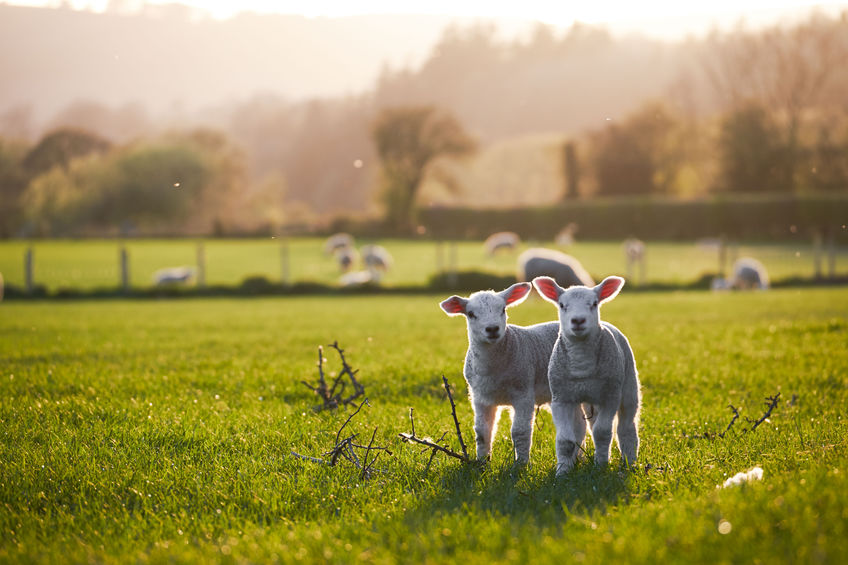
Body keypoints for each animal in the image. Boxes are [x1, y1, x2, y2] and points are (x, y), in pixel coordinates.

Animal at [438, 282, 564, 462]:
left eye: (503, 309)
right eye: (471, 314)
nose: (492, 329)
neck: (493, 371)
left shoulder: (523, 392)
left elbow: (520, 432)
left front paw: (521, 464)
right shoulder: (480, 398)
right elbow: (482, 433)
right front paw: (482, 462)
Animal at [532, 276, 640, 474]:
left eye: (594, 303)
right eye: (562, 305)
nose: (578, 320)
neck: (582, 365)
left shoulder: (610, 396)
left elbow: (602, 433)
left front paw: (600, 467)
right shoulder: (561, 399)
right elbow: (565, 440)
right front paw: (562, 472)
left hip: (628, 385)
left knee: (627, 427)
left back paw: (630, 462)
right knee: (584, 426)